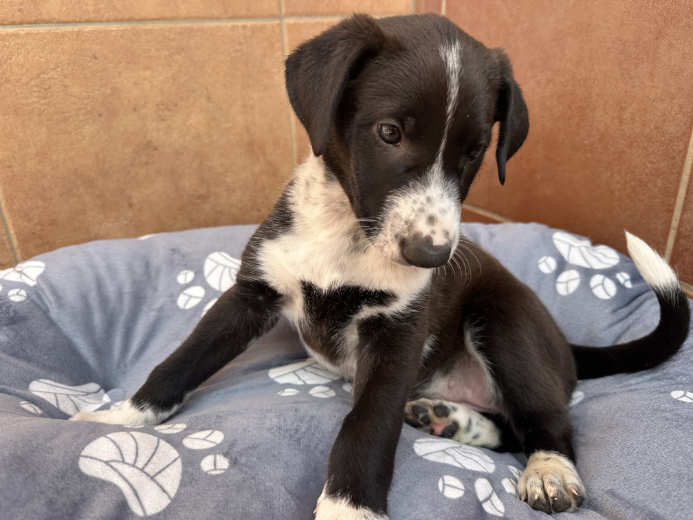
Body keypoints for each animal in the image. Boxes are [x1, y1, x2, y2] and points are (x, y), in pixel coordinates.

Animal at [72, 13, 690, 517]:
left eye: (473, 153)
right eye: (389, 132)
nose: (432, 256)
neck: (349, 235)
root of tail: (564, 346)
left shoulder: (397, 333)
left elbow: (366, 426)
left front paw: (349, 509)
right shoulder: (254, 291)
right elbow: (181, 360)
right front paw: (119, 419)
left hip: (504, 322)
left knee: (549, 423)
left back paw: (550, 472)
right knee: (509, 429)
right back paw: (450, 419)